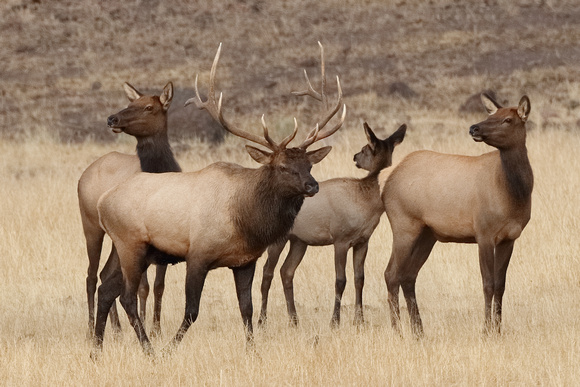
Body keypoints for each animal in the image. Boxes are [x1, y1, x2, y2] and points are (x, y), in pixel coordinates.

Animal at [78, 82, 180, 340]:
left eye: (149, 107)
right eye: (130, 103)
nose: (112, 118)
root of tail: (84, 174)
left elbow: (159, 286)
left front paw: (156, 328)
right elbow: (143, 287)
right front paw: (144, 325)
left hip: (117, 241)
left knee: (104, 274)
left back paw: (115, 328)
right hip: (91, 227)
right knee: (91, 275)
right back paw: (91, 328)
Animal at [90, 43, 344, 358]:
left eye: (309, 164)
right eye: (283, 166)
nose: (313, 185)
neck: (245, 219)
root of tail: (102, 202)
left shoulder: (246, 261)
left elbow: (246, 309)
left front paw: (252, 351)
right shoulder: (197, 254)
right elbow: (191, 311)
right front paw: (170, 348)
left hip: (124, 246)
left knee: (106, 289)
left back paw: (96, 350)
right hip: (130, 243)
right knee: (125, 296)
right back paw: (149, 351)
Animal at [260, 121, 406, 328]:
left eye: (364, 149)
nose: (355, 157)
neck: (367, 204)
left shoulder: (363, 241)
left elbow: (359, 278)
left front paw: (359, 320)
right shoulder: (340, 238)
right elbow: (340, 280)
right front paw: (335, 321)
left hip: (299, 241)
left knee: (286, 271)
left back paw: (294, 320)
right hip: (279, 238)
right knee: (267, 272)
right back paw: (262, 321)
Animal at [382, 94, 532, 336]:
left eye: (508, 119)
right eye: (490, 115)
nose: (474, 128)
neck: (514, 194)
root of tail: (385, 185)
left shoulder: (510, 237)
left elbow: (501, 285)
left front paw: (498, 330)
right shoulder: (484, 233)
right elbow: (488, 283)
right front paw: (486, 330)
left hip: (427, 234)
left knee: (408, 275)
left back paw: (418, 330)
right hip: (404, 225)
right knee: (391, 274)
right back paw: (398, 331)